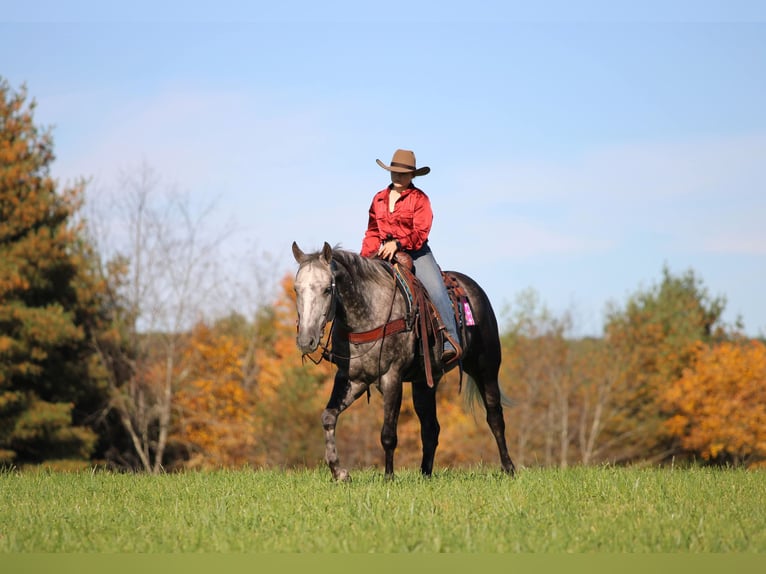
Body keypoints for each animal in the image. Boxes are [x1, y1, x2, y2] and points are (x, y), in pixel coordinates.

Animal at [292, 241, 516, 481]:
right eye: (296, 289)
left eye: (327, 289)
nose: (306, 340)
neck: (369, 310)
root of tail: (474, 289)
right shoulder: (352, 379)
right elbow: (328, 417)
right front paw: (339, 472)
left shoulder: (392, 377)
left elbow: (388, 434)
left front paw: (388, 477)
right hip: (425, 382)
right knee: (430, 428)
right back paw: (425, 474)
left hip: (486, 368)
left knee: (495, 416)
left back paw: (509, 468)